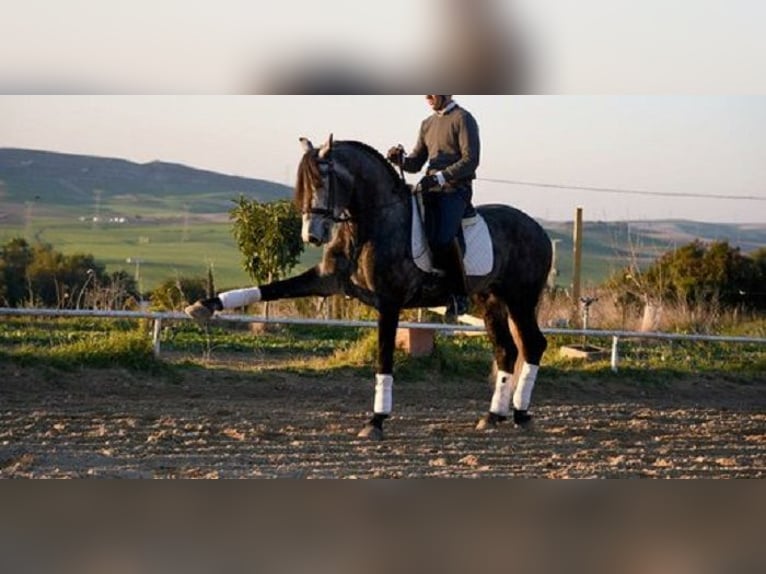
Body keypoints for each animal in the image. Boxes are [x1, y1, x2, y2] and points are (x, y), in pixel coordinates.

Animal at [189, 135, 556, 440]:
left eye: (322, 181)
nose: (312, 235)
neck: (367, 226)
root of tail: (538, 228)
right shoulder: (326, 280)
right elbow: (268, 288)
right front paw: (203, 307)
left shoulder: (389, 302)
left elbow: (383, 357)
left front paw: (376, 420)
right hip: (490, 300)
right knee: (507, 350)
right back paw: (493, 416)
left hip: (520, 299)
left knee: (533, 344)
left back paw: (521, 413)